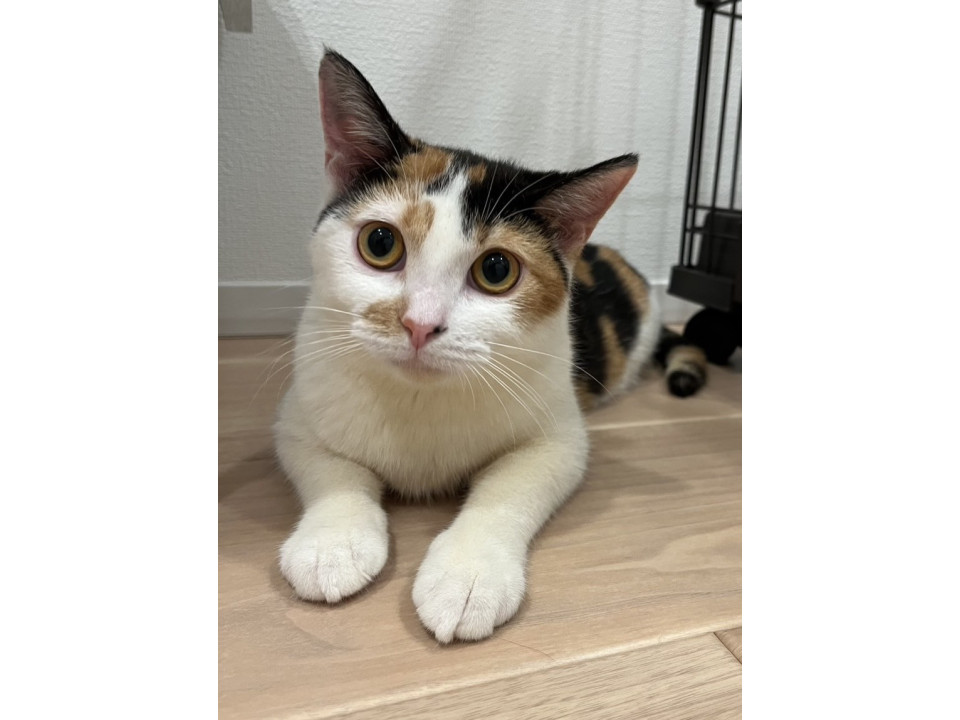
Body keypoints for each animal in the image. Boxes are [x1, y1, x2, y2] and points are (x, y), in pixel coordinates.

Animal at [274, 50, 708, 643]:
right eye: (380, 243)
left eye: (497, 270)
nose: (419, 324)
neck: (420, 401)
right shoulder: (298, 412)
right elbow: (331, 470)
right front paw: (332, 544)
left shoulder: (558, 436)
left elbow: (508, 490)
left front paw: (468, 576)